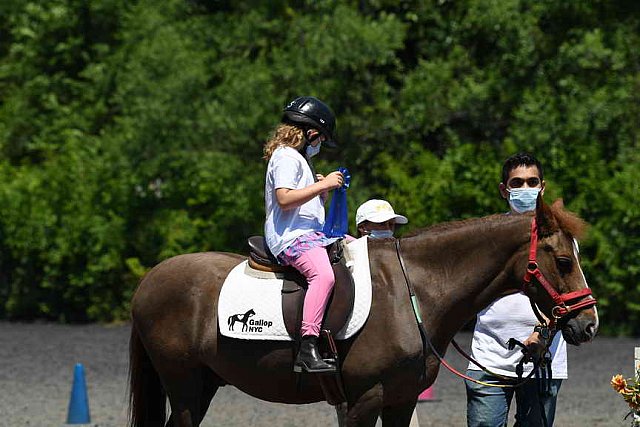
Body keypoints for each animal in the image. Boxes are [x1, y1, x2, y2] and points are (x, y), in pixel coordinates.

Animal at [129, 201, 600, 427]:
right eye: (563, 261)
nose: (588, 323)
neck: (414, 292)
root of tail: (150, 280)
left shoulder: (400, 400)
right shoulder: (363, 400)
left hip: (202, 385)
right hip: (184, 386)